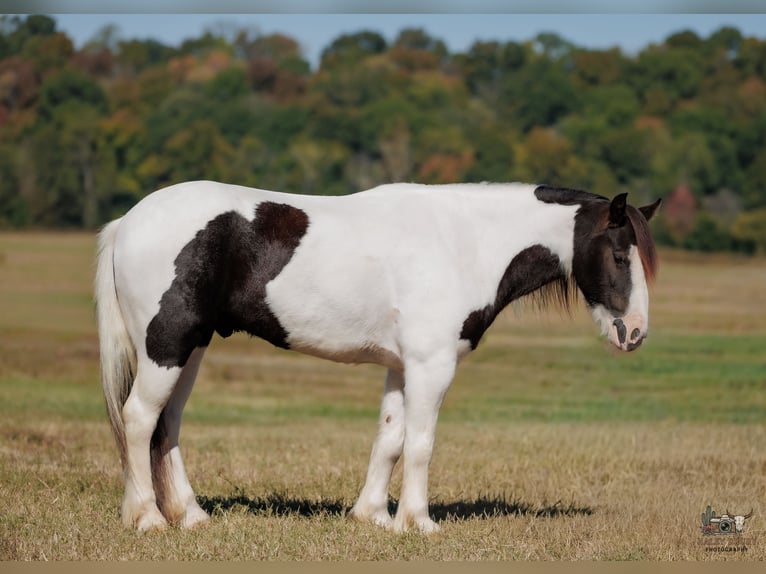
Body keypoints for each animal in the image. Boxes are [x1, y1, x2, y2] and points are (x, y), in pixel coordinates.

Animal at [94, 181, 660, 533]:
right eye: (618, 255)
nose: (634, 333)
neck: (462, 242)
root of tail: (128, 221)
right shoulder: (432, 366)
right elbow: (420, 444)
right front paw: (419, 522)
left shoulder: (401, 367)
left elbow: (388, 439)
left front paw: (373, 517)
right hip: (167, 346)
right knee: (139, 419)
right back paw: (147, 518)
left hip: (189, 350)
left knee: (167, 426)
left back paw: (190, 516)